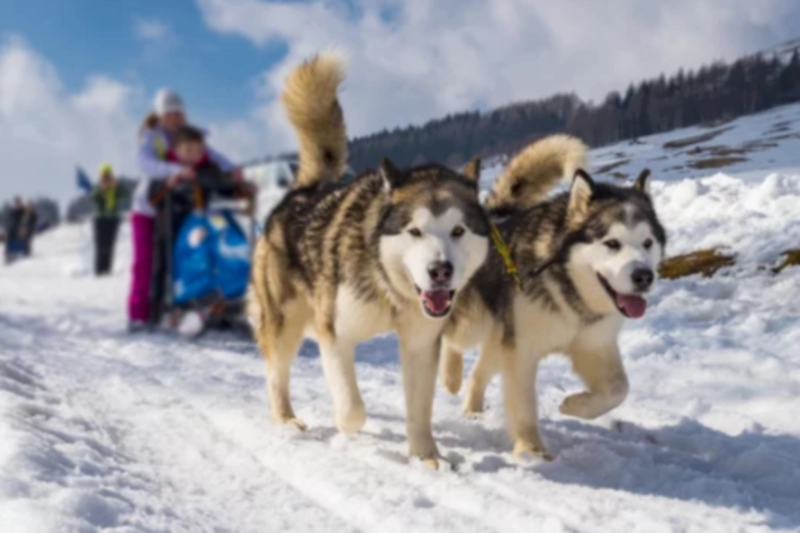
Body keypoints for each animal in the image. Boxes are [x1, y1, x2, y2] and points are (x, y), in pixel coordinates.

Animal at [247, 52, 490, 464]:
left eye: (458, 231)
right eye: (415, 231)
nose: (440, 271)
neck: (389, 286)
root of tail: (304, 191)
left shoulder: (421, 344)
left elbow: (419, 411)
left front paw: (427, 459)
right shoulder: (335, 334)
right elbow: (352, 409)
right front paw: (348, 428)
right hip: (283, 322)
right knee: (275, 374)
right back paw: (286, 420)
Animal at [440, 137, 664, 458]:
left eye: (647, 242)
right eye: (611, 243)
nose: (644, 277)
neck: (570, 290)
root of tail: (490, 217)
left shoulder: (593, 343)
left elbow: (619, 389)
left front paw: (576, 405)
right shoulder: (521, 350)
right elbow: (523, 406)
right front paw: (530, 451)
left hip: (500, 334)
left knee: (481, 369)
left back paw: (472, 407)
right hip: (474, 323)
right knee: (452, 336)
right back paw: (450, 377)